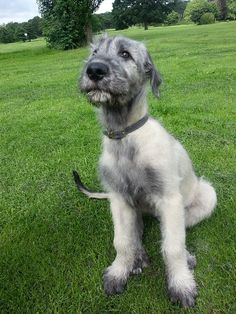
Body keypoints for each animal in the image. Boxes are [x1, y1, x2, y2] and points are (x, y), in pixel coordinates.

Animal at [74, 35, 218, 308]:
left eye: (125, 54)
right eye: (95, 52)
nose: (94, 70)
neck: (124, 136)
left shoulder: (169, 198)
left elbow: (172, 246)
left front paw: (181, 284)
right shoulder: (119, 199)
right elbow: (123, 241)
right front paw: (119, 271)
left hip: (204, 196)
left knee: (177, 229)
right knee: (136, 233)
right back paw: (138, 257)